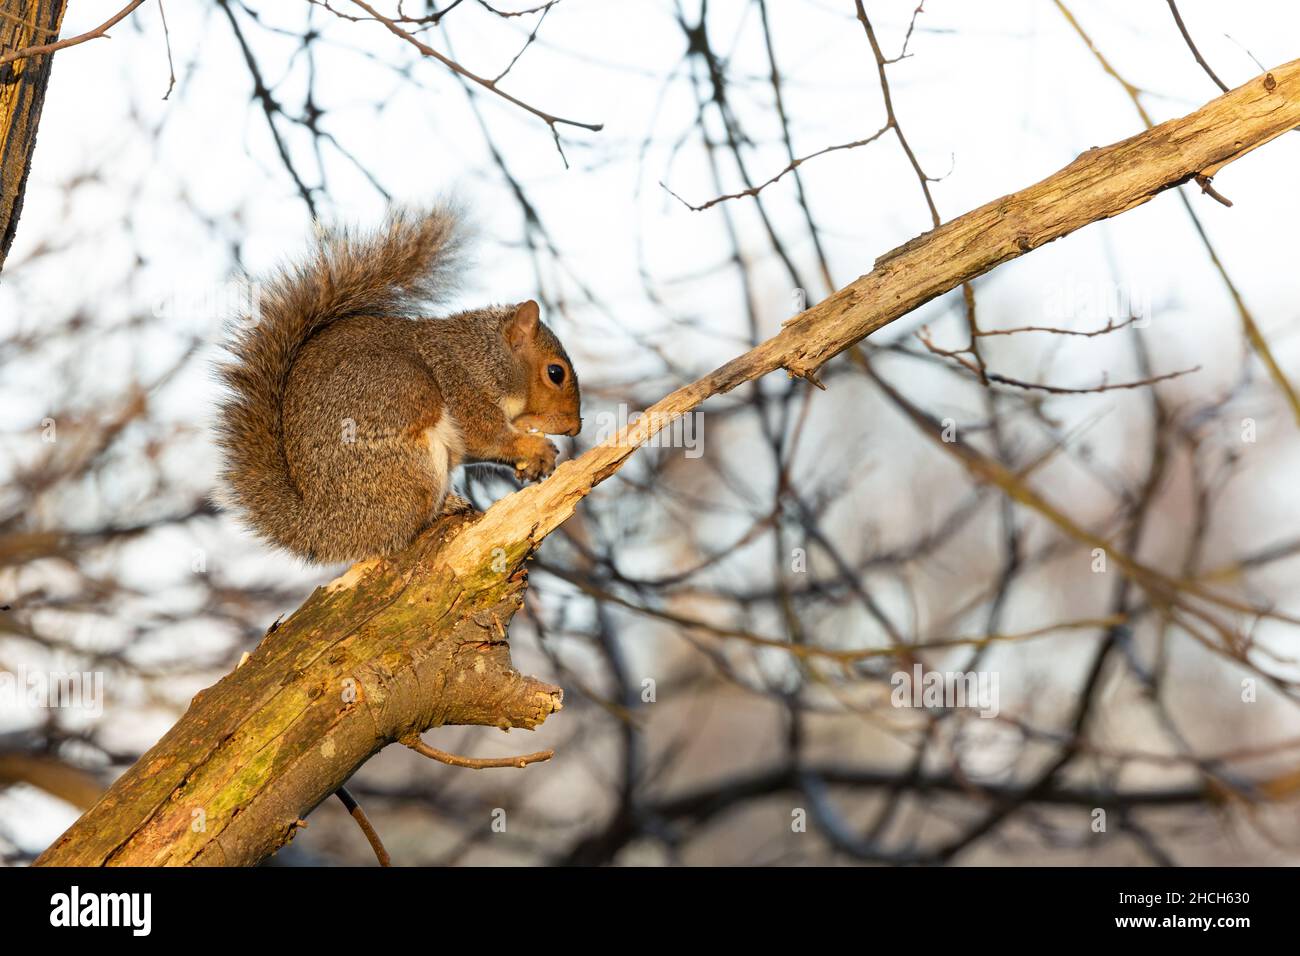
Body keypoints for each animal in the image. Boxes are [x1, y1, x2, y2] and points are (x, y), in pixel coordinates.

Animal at [214, 204, 582, 564]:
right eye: (556, 373)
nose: (575, 428)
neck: (484, 356)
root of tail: (324, 526)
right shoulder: (462, 386)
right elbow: (485, 435)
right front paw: (534, 448)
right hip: (410, 462)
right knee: (406, 527)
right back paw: (444, 507)